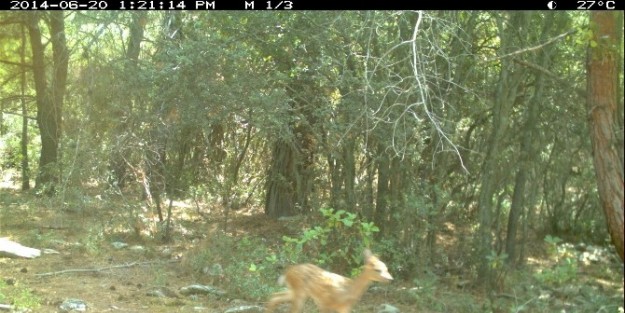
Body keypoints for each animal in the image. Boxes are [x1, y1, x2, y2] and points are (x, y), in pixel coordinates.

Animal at [264, 249, 392, 312]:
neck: (348, 291)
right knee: (292, 309)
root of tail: (287, 272)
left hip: (295, 291)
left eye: (386, 268)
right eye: (377, 270)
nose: (390, 279)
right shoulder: (325, 303)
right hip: (299, 292)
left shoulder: (344, 308)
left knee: (274, 296)